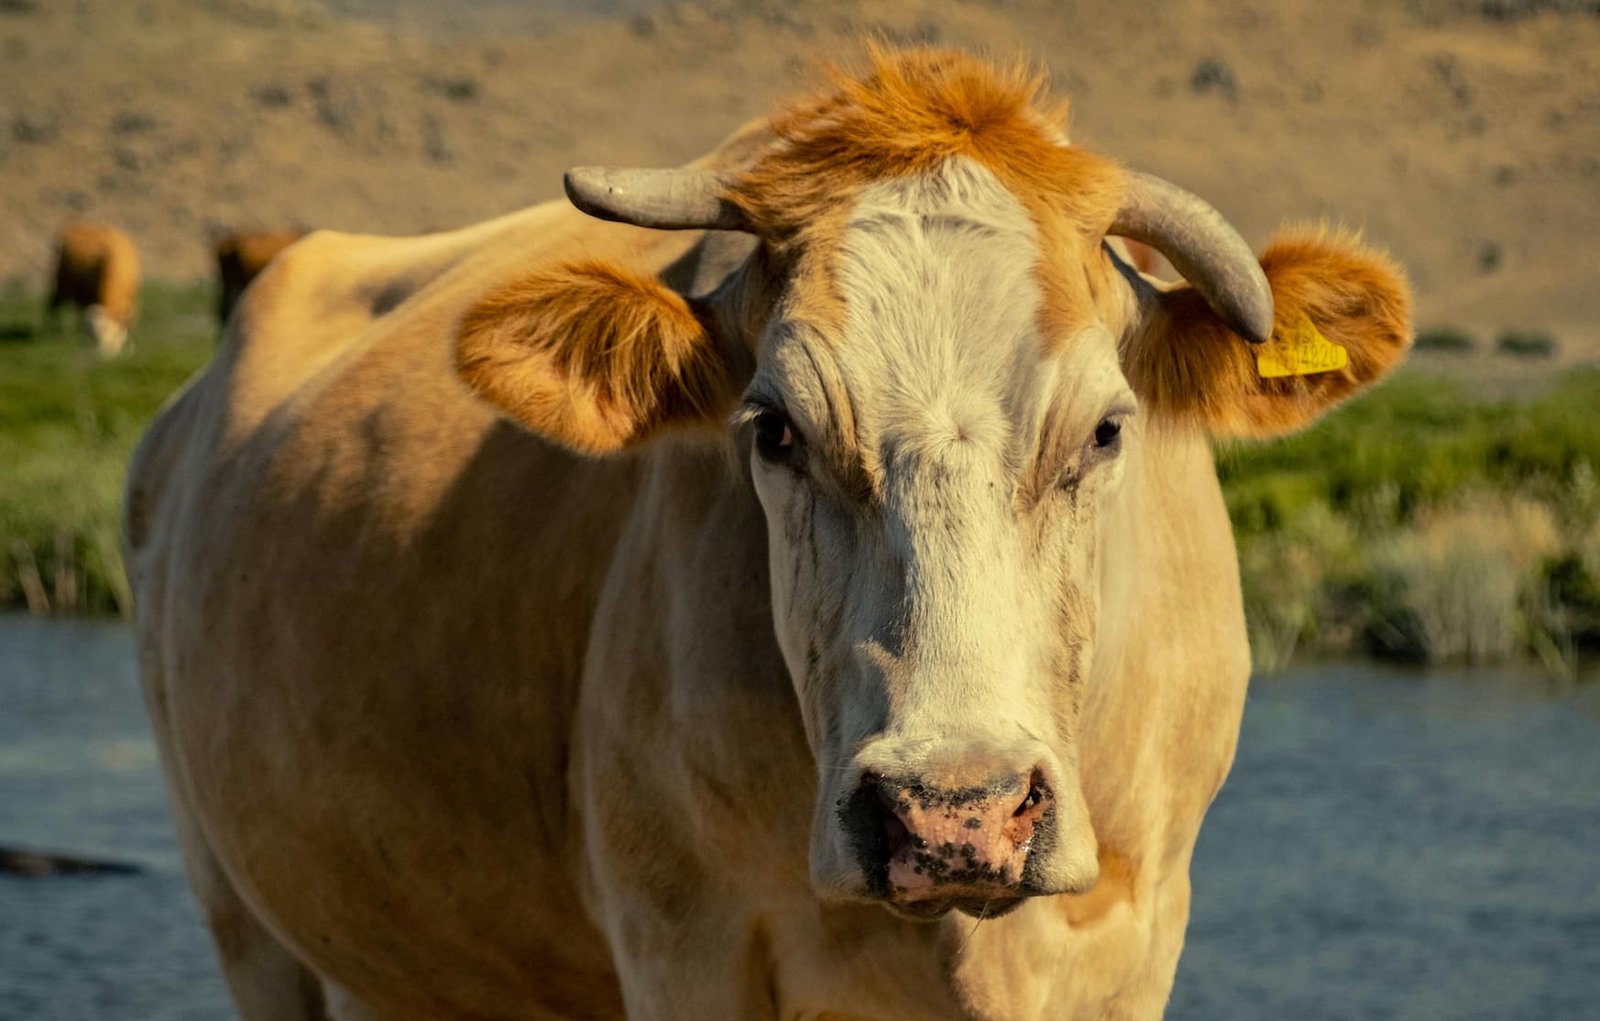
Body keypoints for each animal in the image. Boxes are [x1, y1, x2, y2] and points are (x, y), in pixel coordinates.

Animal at [47, 220, 139, 357]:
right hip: (62, 281)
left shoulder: (131, 300)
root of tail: (77, 224)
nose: (102, 355)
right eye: (93, 338)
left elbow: (129, 322)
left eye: (113, 337)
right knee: (54, 306)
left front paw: (131, 347)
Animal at [125, 48, 1411, 1021]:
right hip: (244, 917)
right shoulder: (685, 943)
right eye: (775, 428)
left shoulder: (1133, 946)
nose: (954, 814)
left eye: (1104, 429)